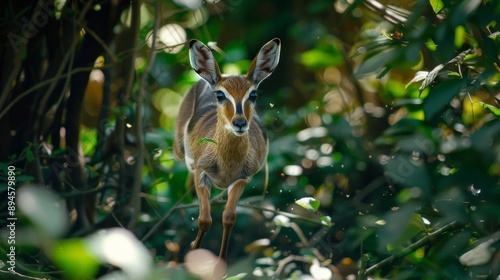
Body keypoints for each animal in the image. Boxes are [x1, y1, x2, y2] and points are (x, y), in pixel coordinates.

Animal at [174, 38, 280, 260]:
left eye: (253, 94)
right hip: (180, 152)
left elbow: (229, 218)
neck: (226, 164)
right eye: (220, 95)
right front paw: (192, 253)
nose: (239, 123)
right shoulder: (201, 173)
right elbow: (204, 220)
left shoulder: (242, 179)